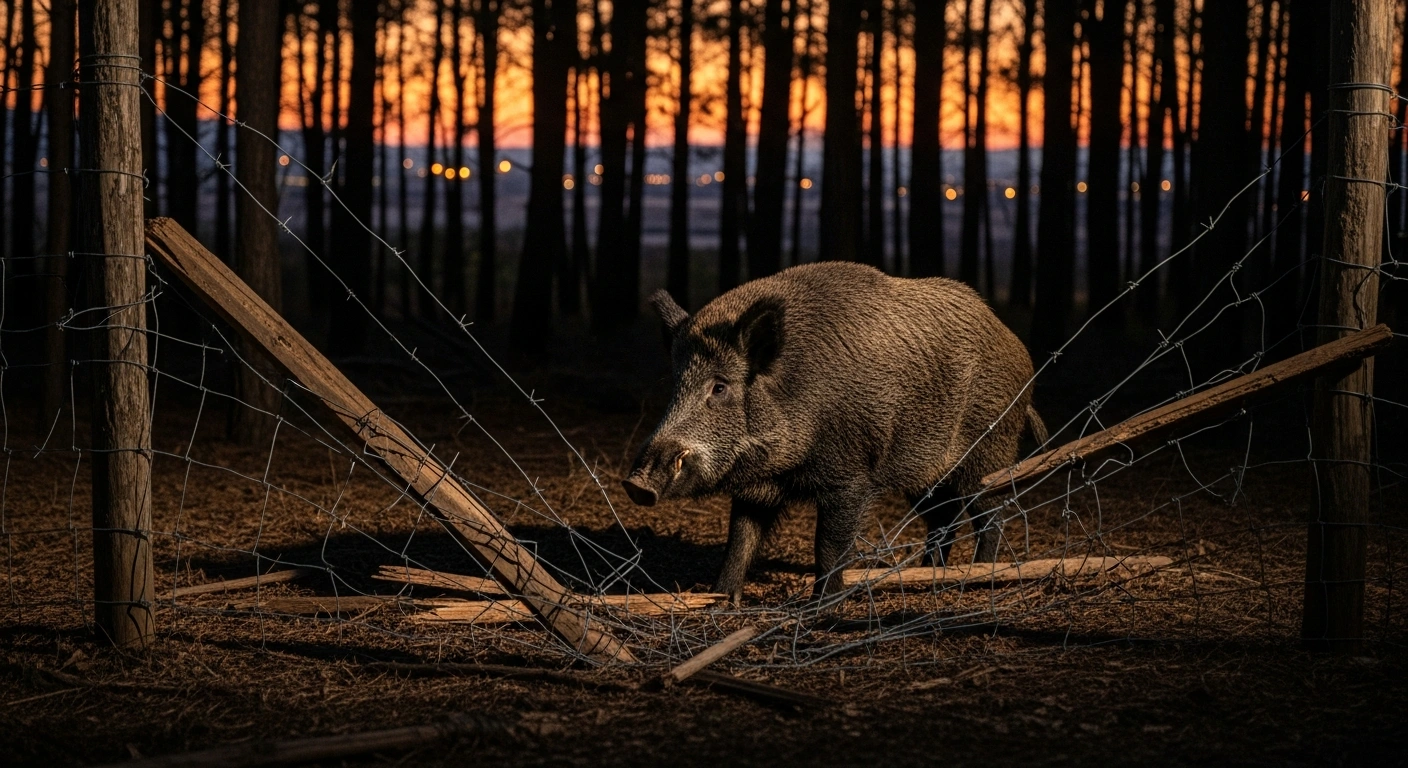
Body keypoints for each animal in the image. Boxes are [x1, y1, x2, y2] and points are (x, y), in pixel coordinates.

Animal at [622, 261, 1046, 602]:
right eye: (676, 383)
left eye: (720, 386)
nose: (635, 484)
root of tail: (1021, 354)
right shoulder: (758, 487)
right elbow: (740, 540)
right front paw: (721, 599)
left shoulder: (850, 476)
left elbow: (828, 546)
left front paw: (820, 608)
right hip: (925, 473)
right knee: (943, 518)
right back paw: (930, 576)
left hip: (989, 452)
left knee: (992, 515)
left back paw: (976, 578)